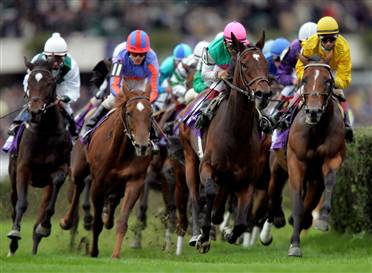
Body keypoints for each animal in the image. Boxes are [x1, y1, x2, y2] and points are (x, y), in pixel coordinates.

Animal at [7, 57, 71, 255]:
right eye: (29, 82)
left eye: (49, 82)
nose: (34, 111)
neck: (45, 131)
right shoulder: (23, 167)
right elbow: (21, 203)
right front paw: (14, 234)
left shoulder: (60, 168)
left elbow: (52, 196)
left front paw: (45, 226)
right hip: (13, 176)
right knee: (14, 202)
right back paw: (12, 247)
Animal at [179, 33, 272, 252]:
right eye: (244, 65)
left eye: (265, 63)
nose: (264, 94)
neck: (236, 132)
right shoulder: (207, 167)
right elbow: (209, 193)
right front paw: (204, 235)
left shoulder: (247, 180)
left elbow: (241, 222)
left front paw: (230, 233)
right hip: (190, 158)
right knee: (195, 196)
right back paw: (196, 234)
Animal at [284, 59, 346, 255]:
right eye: (304, 80)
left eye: (328, 81)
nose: (313, 111)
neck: (316, 130)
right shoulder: (296, 162)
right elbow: (297, 201)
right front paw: (295, 244)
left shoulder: (332, 157)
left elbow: (330, 182)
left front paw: (323, 219)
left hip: (314, 177)